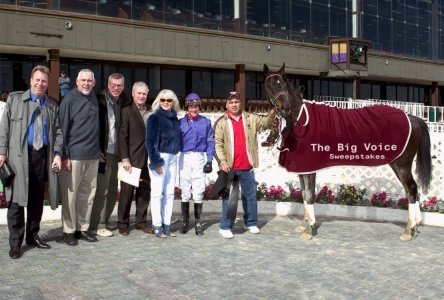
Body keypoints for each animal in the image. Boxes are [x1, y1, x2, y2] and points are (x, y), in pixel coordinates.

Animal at [264, 63, 430, 241]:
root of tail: (413, 118)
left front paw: (309, 229)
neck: (301, 119)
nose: (284, 109)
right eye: (269, 85)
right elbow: (303, 194)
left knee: (411, 188)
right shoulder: (302, 169)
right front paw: (304, 224)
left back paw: (409, 229)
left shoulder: (310, 168)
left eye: (282, 83)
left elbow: (309, 195)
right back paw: (414, 227)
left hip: (401, 165)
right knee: (411, 190)